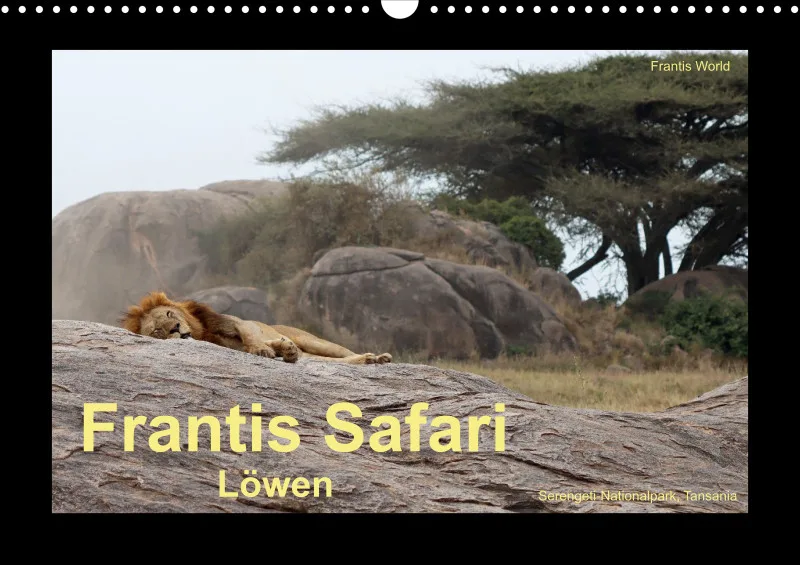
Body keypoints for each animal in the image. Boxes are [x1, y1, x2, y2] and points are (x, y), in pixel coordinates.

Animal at [120, 291, 392, 365]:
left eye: (170, 314)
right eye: (157, 332)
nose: (176, 327)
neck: (201, 333)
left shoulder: (237, 323)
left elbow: (251, 335)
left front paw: (272, 349)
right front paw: (283, 350)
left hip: (317, 342)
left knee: (344, 353)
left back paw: (377, 358)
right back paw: (369, 360)